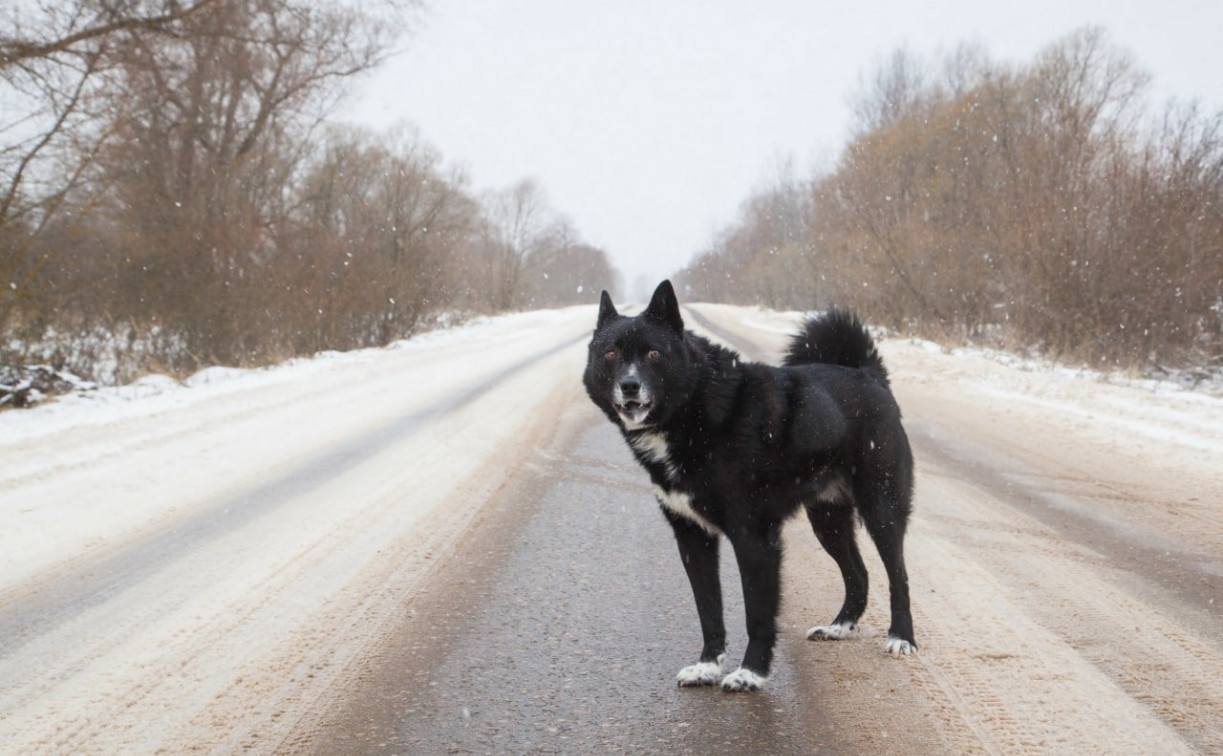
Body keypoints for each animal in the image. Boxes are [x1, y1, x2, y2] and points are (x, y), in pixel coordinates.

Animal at [584, 281, 919, 689]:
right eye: (611, 353)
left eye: (653, 352)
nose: (629, 385)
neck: (694, 410)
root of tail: (869, 375)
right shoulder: (692, 536)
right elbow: (708, 610)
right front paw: (707, 666)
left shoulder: (754, 537)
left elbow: (757, 613)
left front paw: (750, 673)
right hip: (828, 521)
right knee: (859, 573)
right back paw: (839, 627)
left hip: (882, 509)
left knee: (898, 576)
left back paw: (902, 637)